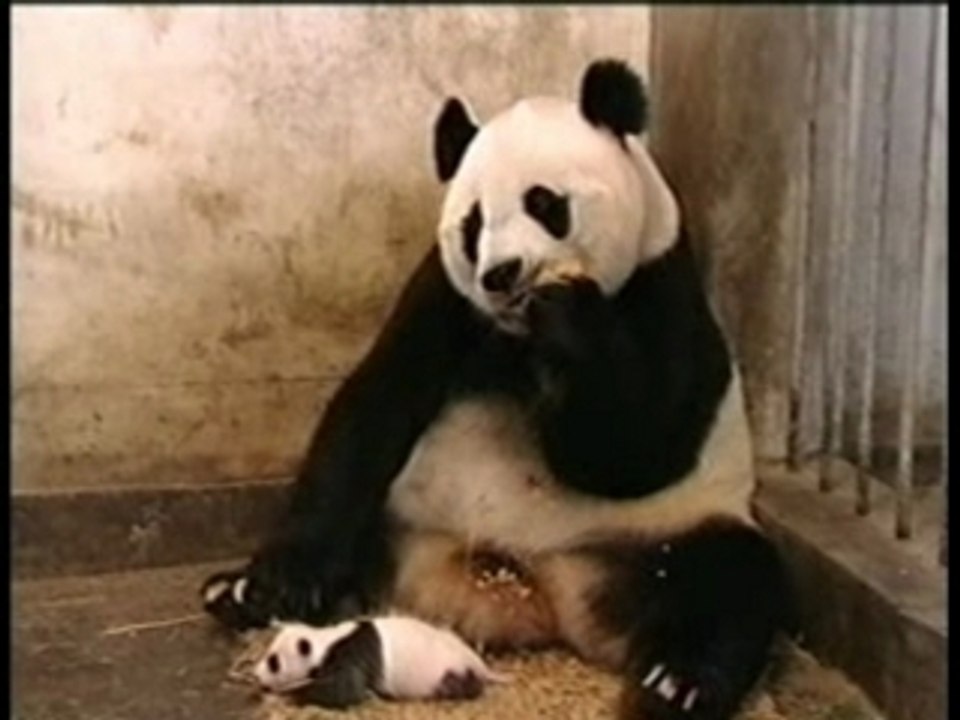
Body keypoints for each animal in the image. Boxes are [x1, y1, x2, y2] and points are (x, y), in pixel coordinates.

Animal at [202, 58, 791, 720]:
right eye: (474, 222)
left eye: (545, 203)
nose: (503, 274)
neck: (517, 336)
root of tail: (535, 594)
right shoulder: (446, 298)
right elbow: (374, 408)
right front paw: (280, 581)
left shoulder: (662, 287)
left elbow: (633, 455)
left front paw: (569, 321)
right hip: (401, 516)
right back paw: (240, 593)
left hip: (661, 532)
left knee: (730, 577)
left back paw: (677, 680)